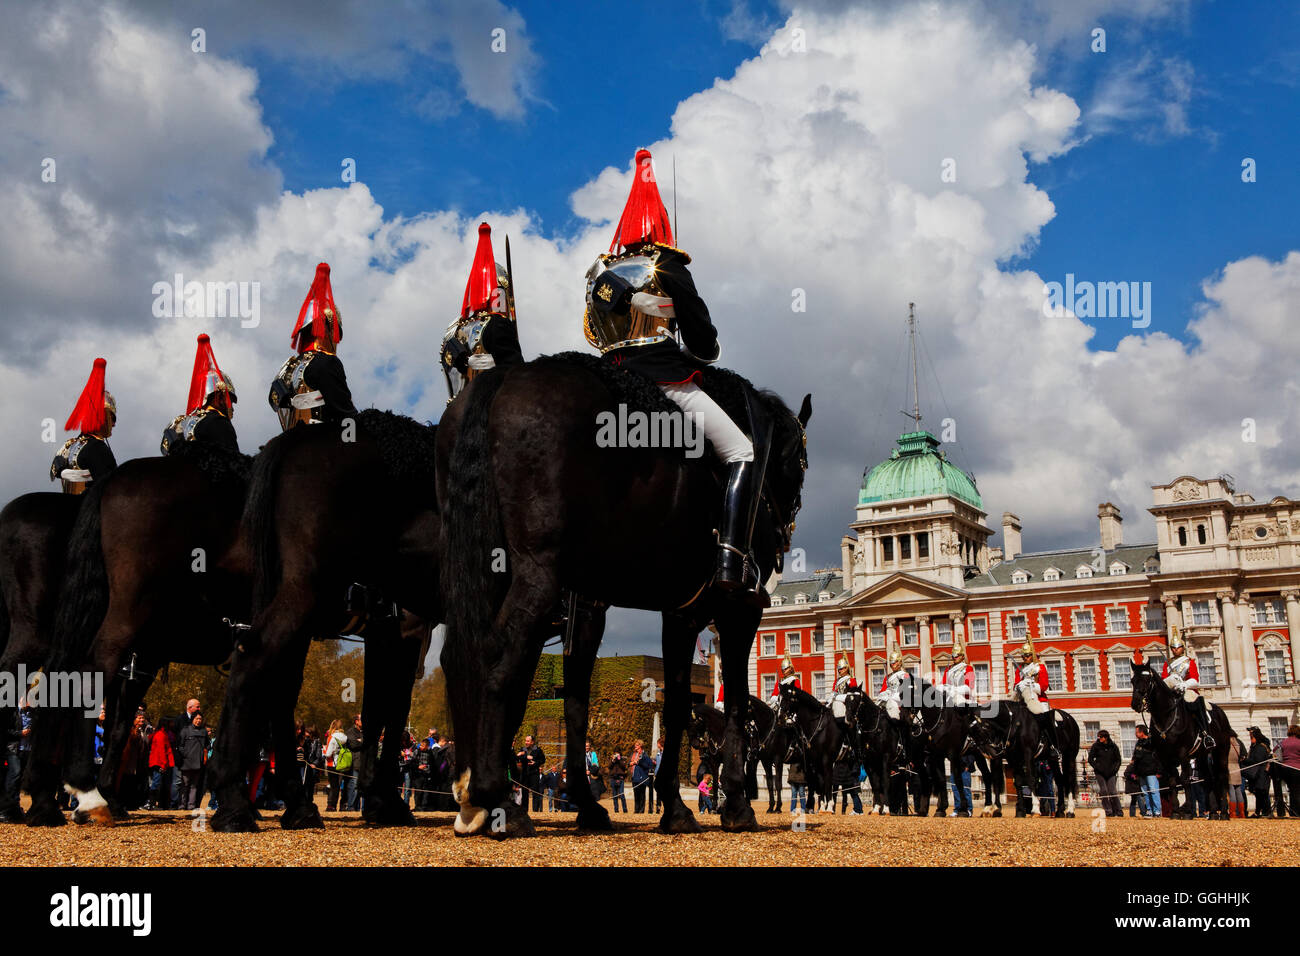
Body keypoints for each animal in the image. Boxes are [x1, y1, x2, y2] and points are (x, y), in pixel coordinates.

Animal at [208, 408, 439, 832]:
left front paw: (377, 798)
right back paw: (234, 798)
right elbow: (394, 707)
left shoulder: (385, 631)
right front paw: (387, 799)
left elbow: (376, 707)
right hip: (303, 592)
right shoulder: (409, 628)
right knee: (255, 655)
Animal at [441, 358, 806, 837]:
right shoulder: (738, 609)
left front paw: (674, 806)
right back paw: (496, 800)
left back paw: (481, 799)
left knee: (470, 658)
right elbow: (737, 703)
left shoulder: (678, 613)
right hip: (538, 577)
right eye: (800, 464)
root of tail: (507, 375)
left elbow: (664, 703)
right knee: (498, 659)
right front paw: (738, 804)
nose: (783, 540)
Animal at [1133, 658, 1232, 822]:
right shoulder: (1165, 757)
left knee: (1222, 776)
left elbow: (1185, 779)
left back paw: (1224, 812)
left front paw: (1187, 812)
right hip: (1202, 755)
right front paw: (1175, 811)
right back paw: (1212, 813)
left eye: (1147, 680)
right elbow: (1173, 781)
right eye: (1132, 680)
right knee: (1208, 778)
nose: (1136, 703)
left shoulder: (1183, 753)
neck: (1166, 717)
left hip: (1221, 752)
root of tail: (1221, 712)